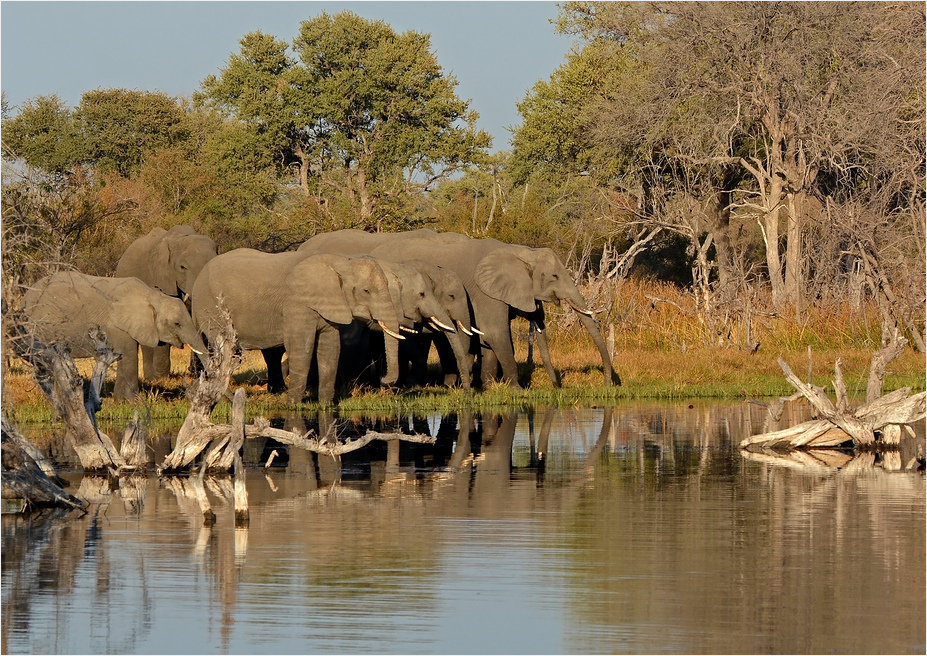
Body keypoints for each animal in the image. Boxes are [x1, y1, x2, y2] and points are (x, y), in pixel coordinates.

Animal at [20, 270, 210, 400]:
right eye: (177, 324)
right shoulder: (116, 325)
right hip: (41, 326)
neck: (152, 295)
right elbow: (128, 356)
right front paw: (130, 402)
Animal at [192, 250, 402, 404]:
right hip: (211, 307)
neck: (340, 261)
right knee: (222, 352)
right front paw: (293, 405)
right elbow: (303, 349)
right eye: (366, 291)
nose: (383, 380)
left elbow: (331, 349)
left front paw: (326, 405)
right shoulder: (297, 305)